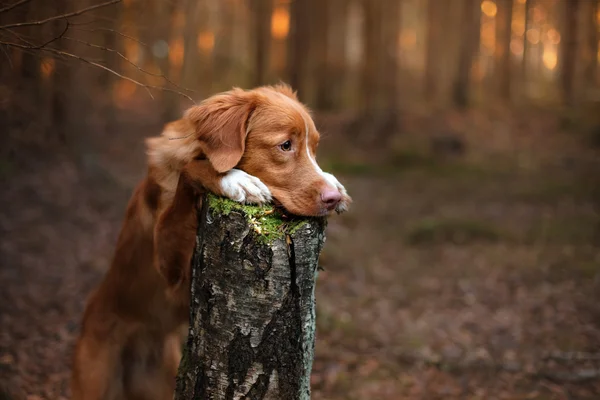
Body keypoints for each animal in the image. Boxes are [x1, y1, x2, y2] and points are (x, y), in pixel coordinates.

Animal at [70, 83, 352, 398]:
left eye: (314, 148)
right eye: (285, 145)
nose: (332, 199)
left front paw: (334, 180)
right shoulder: (168, 266)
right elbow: (190, 169)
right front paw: (234, 179)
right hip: (94, 374)